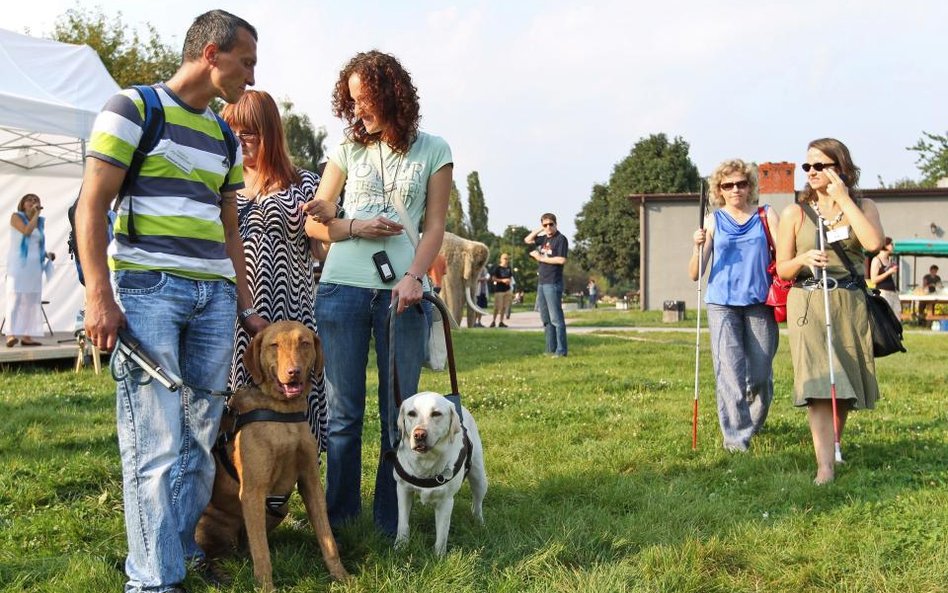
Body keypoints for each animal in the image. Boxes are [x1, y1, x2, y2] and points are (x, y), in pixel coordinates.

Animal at [195, 322, 348, 588]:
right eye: (274, 345)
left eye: (304, 343)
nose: (294, 372)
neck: (282, 411)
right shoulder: (253, 491)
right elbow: (262, 553)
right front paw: (266, 586)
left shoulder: (310, 481)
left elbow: (326, 536)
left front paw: (341, 575)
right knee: (213, 553)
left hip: (279, 508)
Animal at [390, 390, 486, 552]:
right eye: (411, 413)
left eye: (436, 414)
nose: (419, 435)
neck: (426, 461)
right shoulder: (403, 490)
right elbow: (402, 523)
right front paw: (400, 546)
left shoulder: (446, 501)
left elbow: (442, 534)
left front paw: (439, 556)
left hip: (479, 478)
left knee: (477, 504)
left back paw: (479, 523)